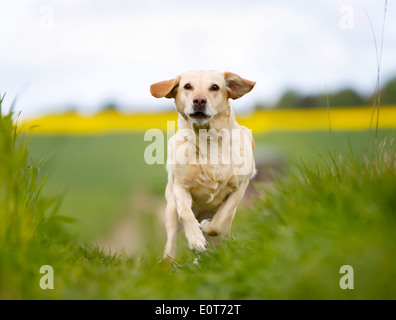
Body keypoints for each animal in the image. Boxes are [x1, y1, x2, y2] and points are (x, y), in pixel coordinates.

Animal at [150, 70, 255, 260]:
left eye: (214, 87)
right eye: (187, 86)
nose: (199, 100)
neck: (208, 140)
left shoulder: (240, 187)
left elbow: (218, 223)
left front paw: (206, 226)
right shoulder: (180, 186)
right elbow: (186, 214)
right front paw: (195, 239)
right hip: (170, 211)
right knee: (171, 242)